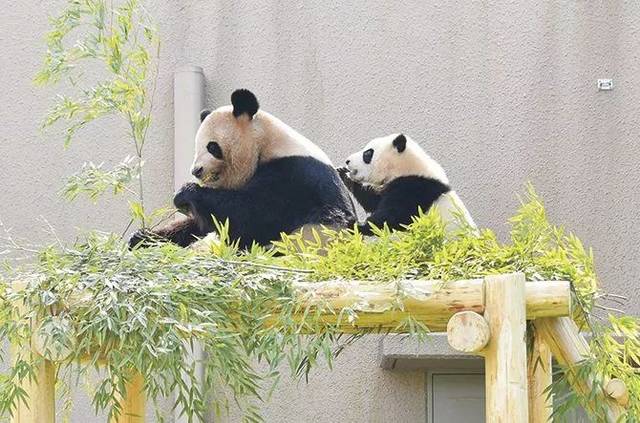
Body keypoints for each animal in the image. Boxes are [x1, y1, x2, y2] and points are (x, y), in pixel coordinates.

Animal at [131, 89, 358, 248]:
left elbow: (250, 216)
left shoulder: (294, 176)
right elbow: (201, 224)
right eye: (196, 147)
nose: (196, 171)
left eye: (212, 147)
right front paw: (142, 237)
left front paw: (185, 194)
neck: (266, 143)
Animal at [340, 133, 476, 235]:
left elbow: (393, 217)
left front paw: (354, 224)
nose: (347, 161)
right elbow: (373, 200)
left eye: (367, 153)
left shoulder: (415, 188)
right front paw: (343, 175)